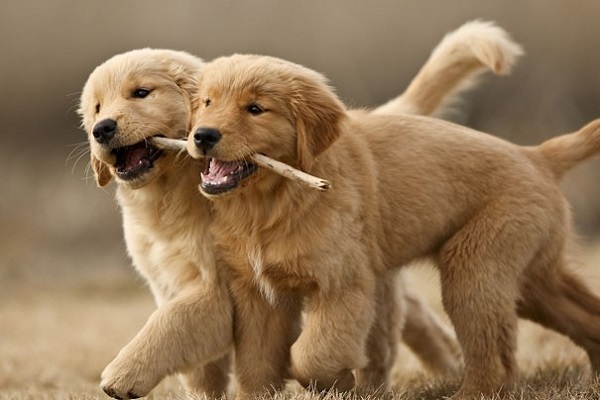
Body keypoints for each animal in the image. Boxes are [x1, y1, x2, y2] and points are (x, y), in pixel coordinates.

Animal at [78, 21, 520, 400]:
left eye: (141, 93)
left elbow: (170, 326)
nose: (102, 129)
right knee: (398, 320)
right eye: (97, 107)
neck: (171, 195)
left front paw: (123, 375)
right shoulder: (172, 282)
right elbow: (201, 367)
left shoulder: (215, 289)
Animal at [186, 50, 600, 400]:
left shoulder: (343, 285)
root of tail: (538, 155)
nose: (203, 135)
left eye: (256, 109)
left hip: (475, 267)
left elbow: (312, 353)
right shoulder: (258, 294)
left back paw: (470, 393)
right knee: (586, 315)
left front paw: (341, 382)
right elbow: (255, 365)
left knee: (493, 359)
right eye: (207, 102)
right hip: (531, 278)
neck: (271, 203)